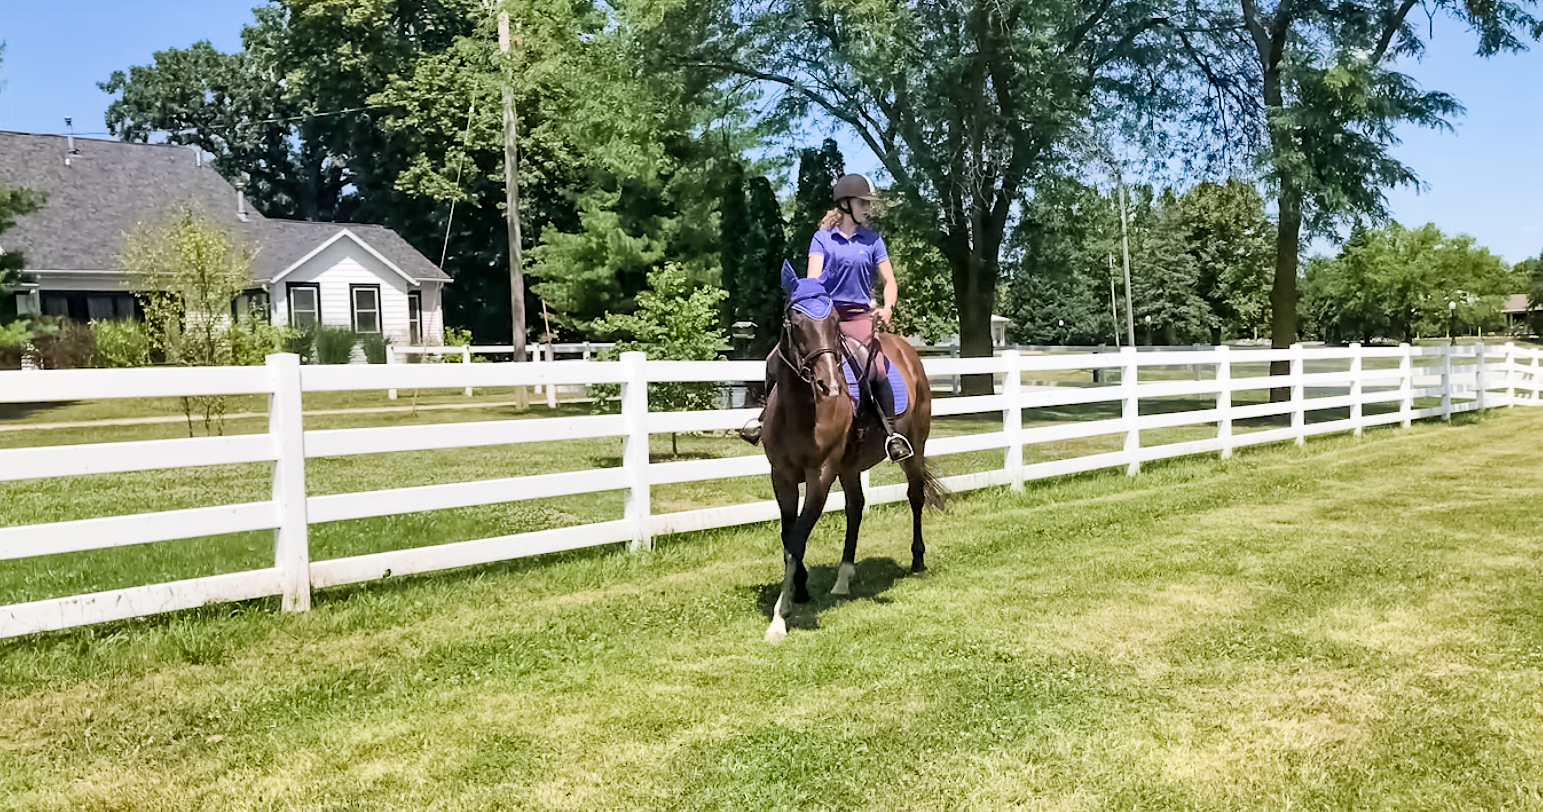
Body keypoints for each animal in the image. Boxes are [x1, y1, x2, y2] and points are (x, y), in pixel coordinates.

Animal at [759, 263, 938, 645]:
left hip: (914, 449)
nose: (829, 384)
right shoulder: (781, 476)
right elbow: (789, 536)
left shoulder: (820, 476)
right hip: (850, 467)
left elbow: (798, 536)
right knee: (856, 508)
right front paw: (799, 589)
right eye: (795, 321)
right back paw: (843, 577)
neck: (801, 411)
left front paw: (780, 617)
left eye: (832, 323)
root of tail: (905, 349)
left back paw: (917, 562)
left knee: (915, 496)